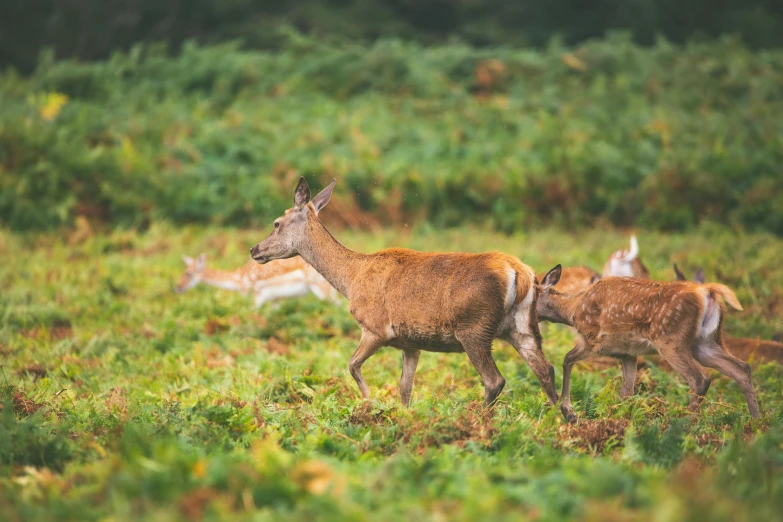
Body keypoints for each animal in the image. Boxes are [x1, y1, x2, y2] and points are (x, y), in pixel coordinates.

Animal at [176, 251, 338, 304]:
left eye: (188, 273)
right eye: (183, 271)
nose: (177, 288)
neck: (238, 279)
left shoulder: (255, 294)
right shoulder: (274, 298)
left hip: (320, 286)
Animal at [251, 179, 564, 410]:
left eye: (276, 223)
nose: (255, 250)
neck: (351, 278)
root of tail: (520, 273)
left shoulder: (375, 327)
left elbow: (352, 365)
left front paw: (370, 403)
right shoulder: (411, 342)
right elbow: (405, 386)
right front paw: (402, 415)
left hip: (475, 326)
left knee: (495, 380)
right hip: (522, 325)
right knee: (546, 370)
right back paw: (559, 422)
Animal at [540, 264, 760, 418]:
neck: (572, 311)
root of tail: (706, 293)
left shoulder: (593, 339)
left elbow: (567, 359)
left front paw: (568, 412)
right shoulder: (627, 353)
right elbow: (627, 390)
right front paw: (620, 417)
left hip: (671, 339)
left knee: (700, 379)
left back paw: (686, 420)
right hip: (706, 342)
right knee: (741, 368)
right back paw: (756, 422)